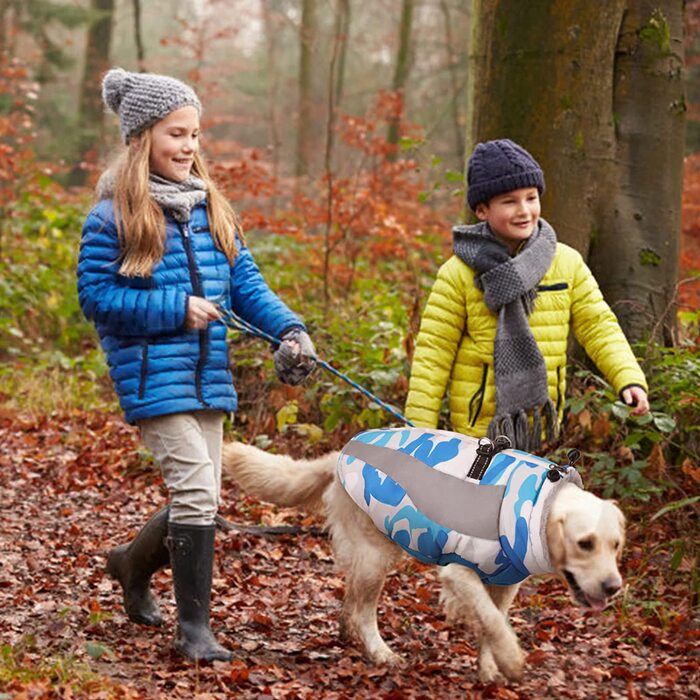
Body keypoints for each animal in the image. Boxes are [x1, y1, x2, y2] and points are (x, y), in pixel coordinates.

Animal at [223, 440, 624, 680]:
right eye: (585, 544)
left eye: (616, 546)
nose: (614, 588)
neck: (537, 507)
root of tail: (340, 453)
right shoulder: (460, 574)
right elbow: (492, 621)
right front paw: (511, 660)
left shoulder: (505, 583)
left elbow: (492, 622)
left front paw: (489, 670)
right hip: (377, 555)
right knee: (363, 611)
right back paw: (380, 652)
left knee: (350, 604)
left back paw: (351, 637)